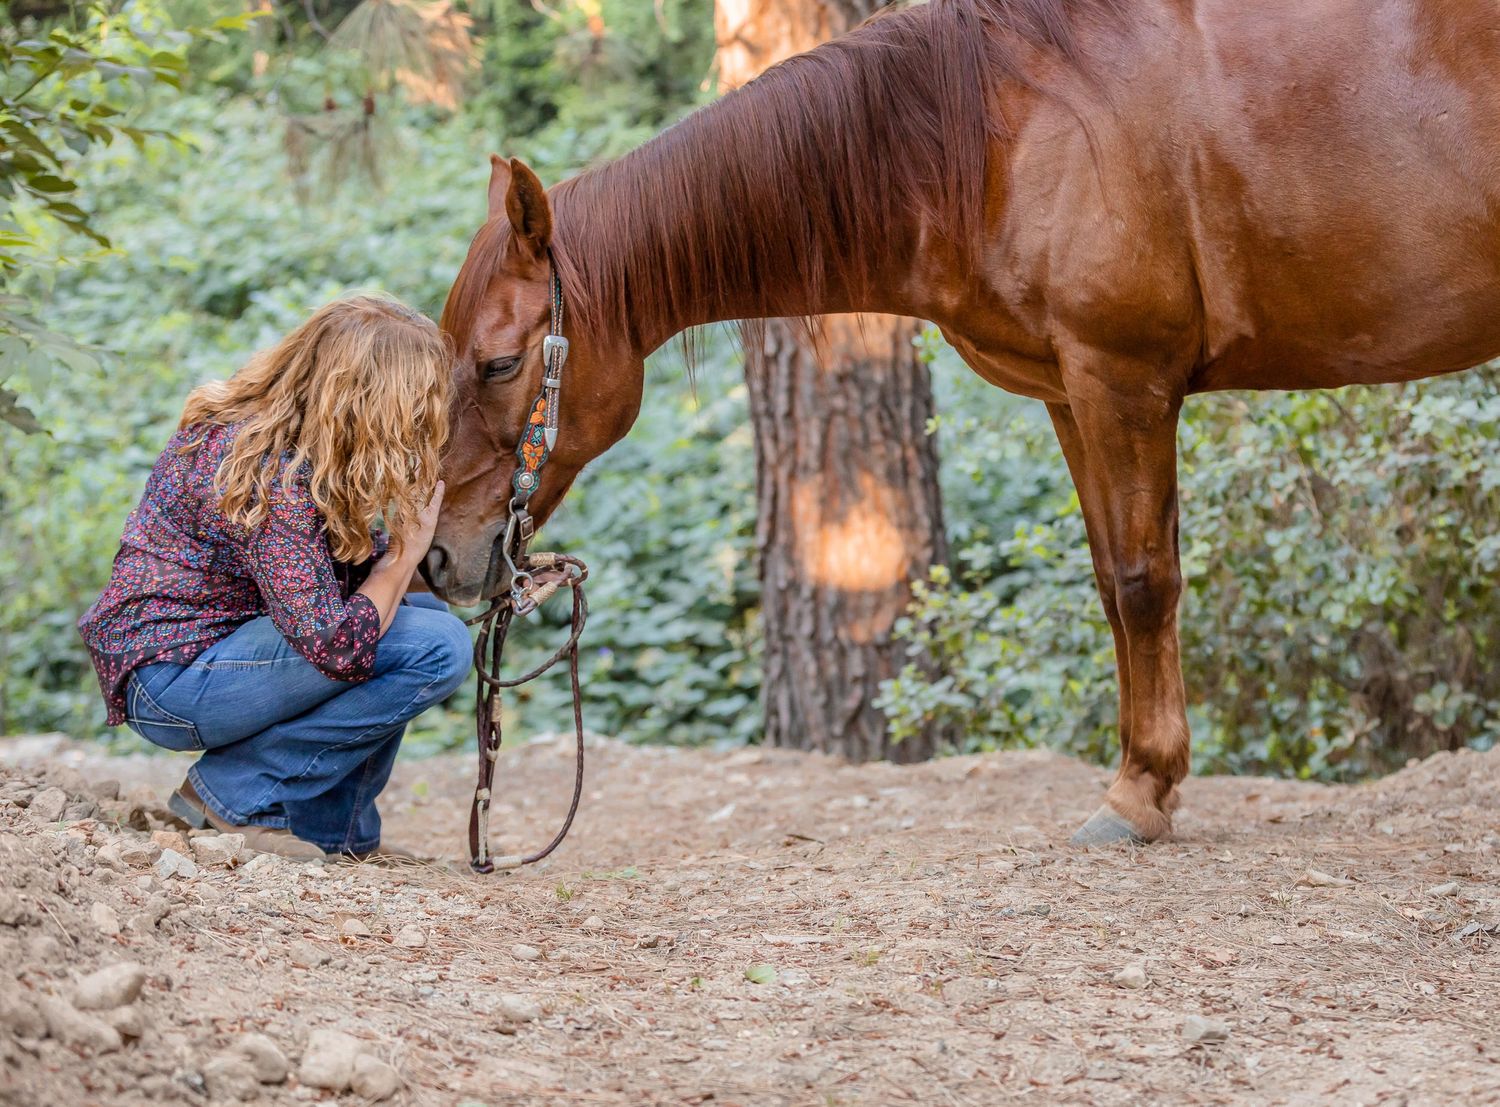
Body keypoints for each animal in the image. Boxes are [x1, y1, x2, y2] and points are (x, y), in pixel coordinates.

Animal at [428, 0, 1500, 846]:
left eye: (500, 363)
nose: (440, 558)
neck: (1006, 131)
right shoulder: (1073, 394)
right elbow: (1113, 583)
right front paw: (1143, 777)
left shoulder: (1123, 381)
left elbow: (1147, 583)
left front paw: (1139, 794)